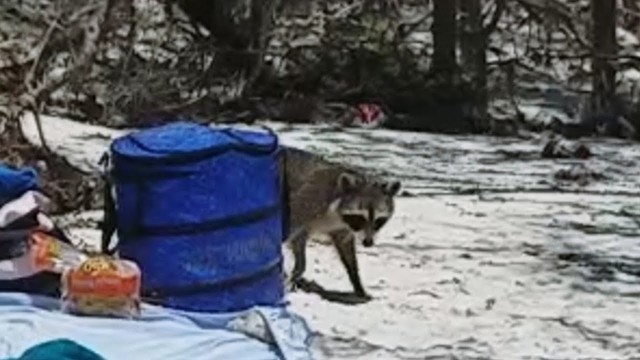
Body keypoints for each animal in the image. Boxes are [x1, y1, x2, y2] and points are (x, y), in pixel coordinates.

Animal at [280, 148, 400, 302]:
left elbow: (345, 248)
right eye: (360, 218)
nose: (367, 243)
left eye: (379, 220)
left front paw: (357, 281)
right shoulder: (307, 203)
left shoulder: (342, 228)